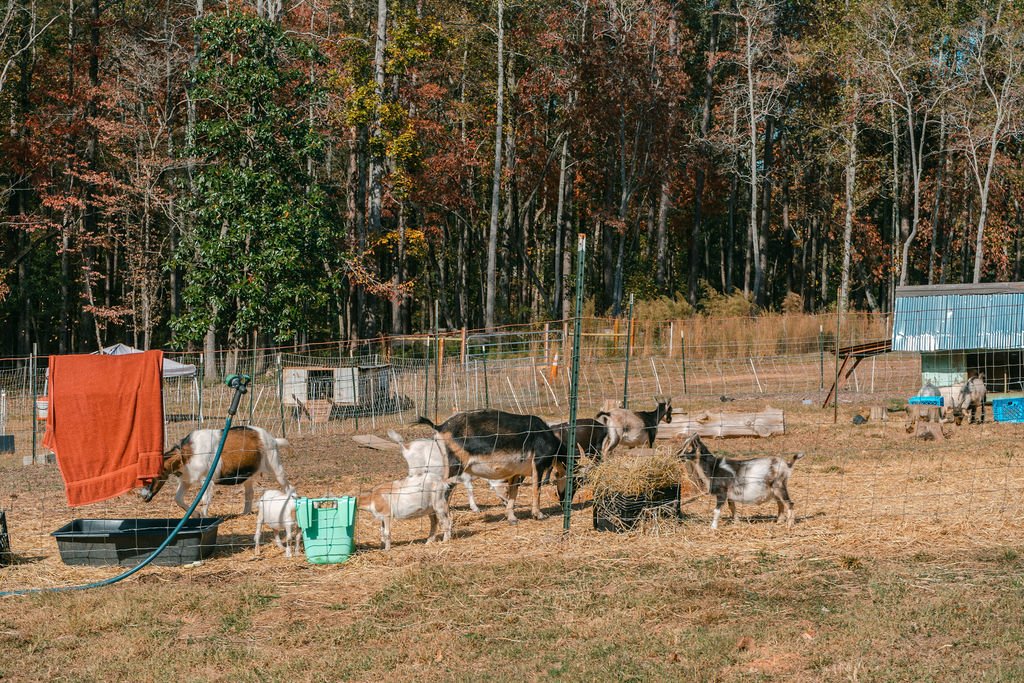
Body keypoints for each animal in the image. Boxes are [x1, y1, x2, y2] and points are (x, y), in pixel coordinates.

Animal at [138, 425, 290, 517]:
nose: (143, 496)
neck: (187, 454)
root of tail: (273, 439)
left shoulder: (207, 480)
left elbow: (204, 499)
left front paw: (203, 517)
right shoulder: (187, 479)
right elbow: (178, 498)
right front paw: (196, 514)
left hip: (275, 465)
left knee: (287, 486)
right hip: (249, 475)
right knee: (249, 492)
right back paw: (245, 513)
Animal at [416, 409, 567, 524]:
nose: (564, 503)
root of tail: (440, 427)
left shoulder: (515, 473)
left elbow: (513, 492)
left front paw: (512, 518)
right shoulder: (538, 464)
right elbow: (537, 489)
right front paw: (538, 515)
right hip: (455, 467)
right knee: (444, 491)